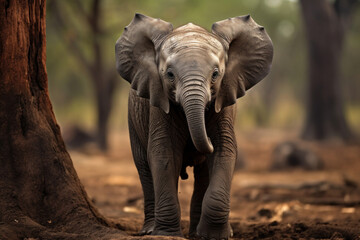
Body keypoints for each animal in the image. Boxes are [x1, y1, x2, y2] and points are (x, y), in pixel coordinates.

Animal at [115, 13, 272, 240]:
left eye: (215, 74)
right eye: (169, 75)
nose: (206, 140)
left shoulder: (224, 102)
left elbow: (225, 150)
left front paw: (217, 236)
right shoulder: (159, 102)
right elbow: (163, 153)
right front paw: (166, 234)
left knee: (203, 174)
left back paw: (198, 234)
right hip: (132, 120)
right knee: (144, 167)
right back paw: (150, 230)